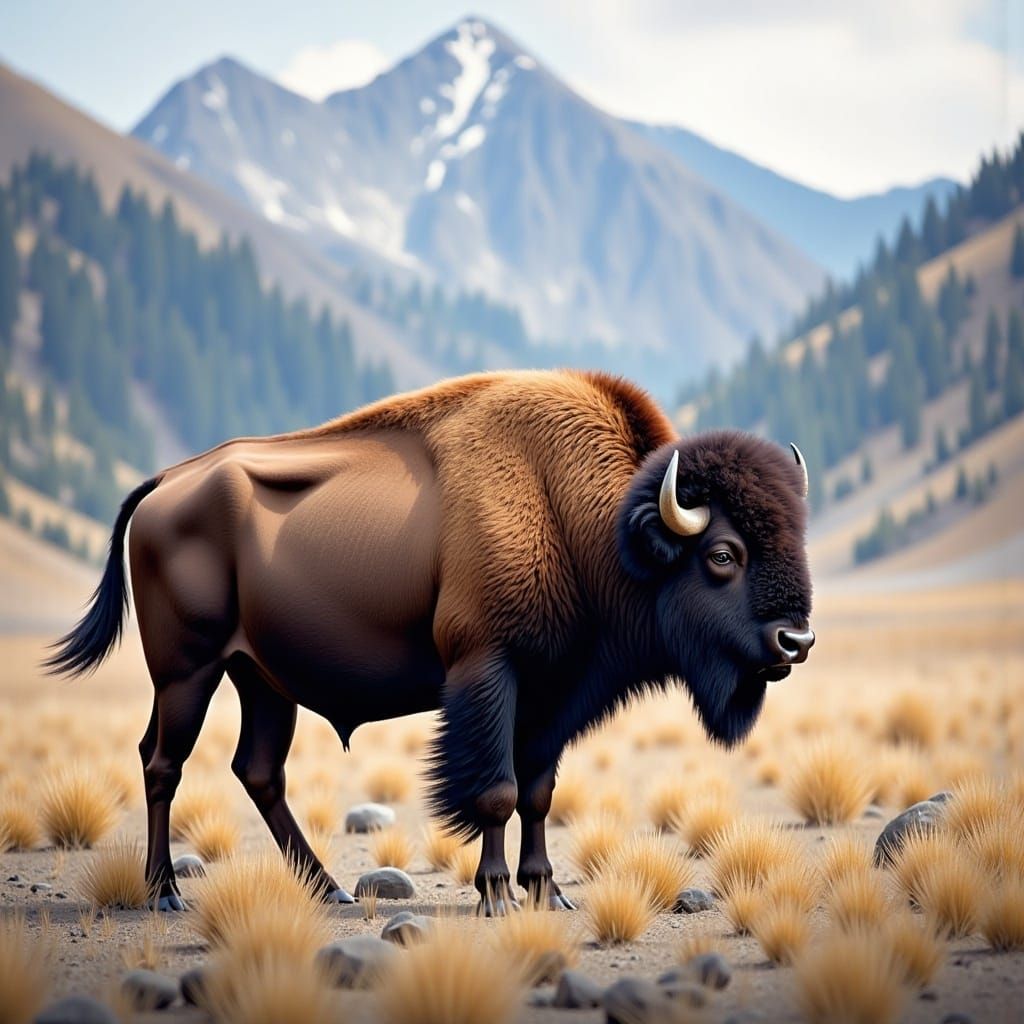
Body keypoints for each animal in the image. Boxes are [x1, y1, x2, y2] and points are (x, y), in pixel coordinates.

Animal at [47, 370, 814, 913]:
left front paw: (549, 892)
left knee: (257, 770)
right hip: (187, 672)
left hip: (261, 680)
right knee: (162, 765)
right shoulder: (488, 670)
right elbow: (496, 790)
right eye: (723, 554)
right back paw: (166, 895)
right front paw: (498, 896)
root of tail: (164, 485)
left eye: (797, 537)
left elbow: (538, 790)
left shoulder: (555, 692)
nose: (796, 639)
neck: (575, 512)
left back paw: (328, 889)